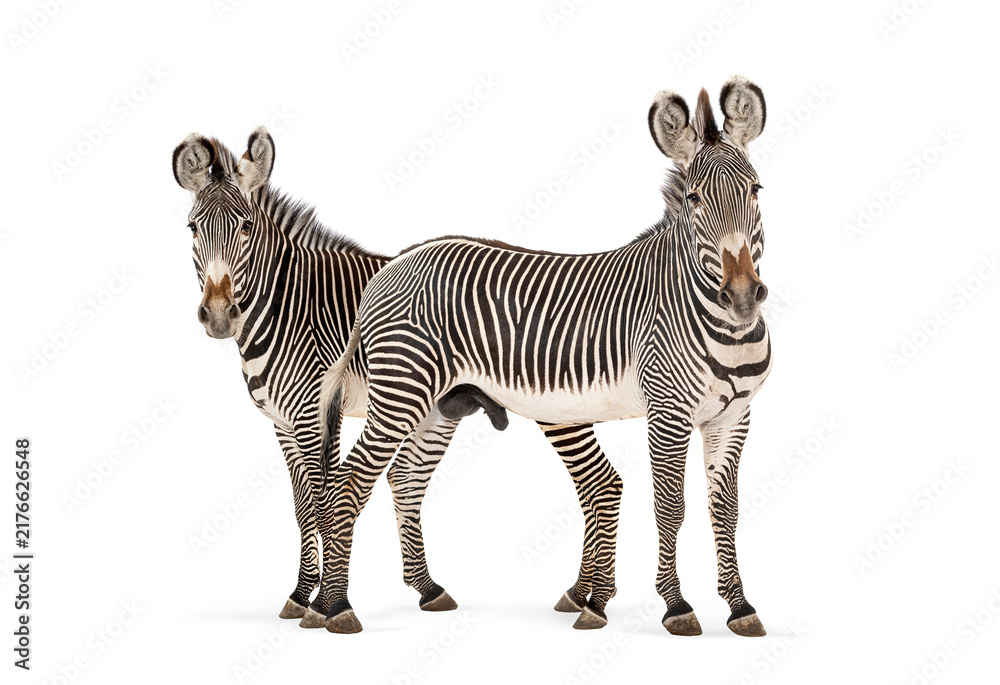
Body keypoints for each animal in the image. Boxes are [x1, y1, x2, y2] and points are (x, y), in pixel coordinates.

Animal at [171, 129, 623, 627]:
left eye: (247, 227)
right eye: (193, 228)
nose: (218, 316)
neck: (284, 305)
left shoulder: (313, 413)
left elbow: (320, 501)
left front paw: (321, 599)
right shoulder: (282, 422)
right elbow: (303, 506)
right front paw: (303, 594)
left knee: (594, 483)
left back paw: (588, 597)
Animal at [313, 76, 773, 637]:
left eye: (756, 190)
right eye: (694, 198)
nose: (743, 295)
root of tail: (392, 266)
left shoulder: (734, 416)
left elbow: (724, 510)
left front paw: (740, 606)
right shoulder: (668, 411)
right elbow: (670, 506)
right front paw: (676, 605)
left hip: (436, 405)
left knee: (402, 479)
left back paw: (419, 592)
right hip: (401, 393)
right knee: (348, 484)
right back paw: (336, 606)